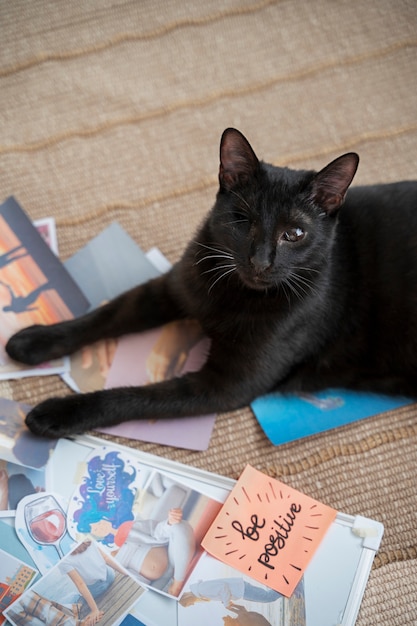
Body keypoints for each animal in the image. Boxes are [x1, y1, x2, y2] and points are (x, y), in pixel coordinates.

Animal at [6, 129, 416, 436]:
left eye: (295, 234)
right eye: (242, 220)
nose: (260, 261)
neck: (232, 295)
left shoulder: (224, 385)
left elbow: (135, 396)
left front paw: (59, 413)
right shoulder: (170, 290)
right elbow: (105, 315)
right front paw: (34, 341)